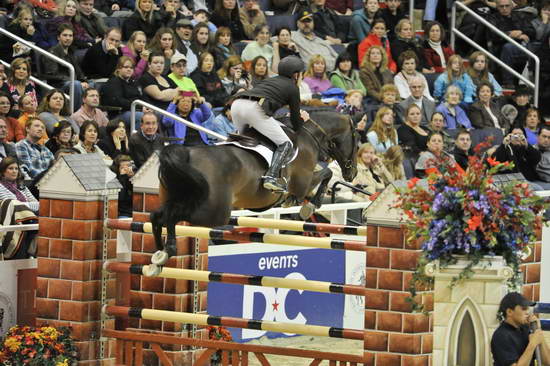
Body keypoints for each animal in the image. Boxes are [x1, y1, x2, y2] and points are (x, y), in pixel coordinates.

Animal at [149, 108, 360, 272]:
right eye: (357, 143)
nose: (353, 173)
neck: (309, 135)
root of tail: (185, 155)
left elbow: (325, 174)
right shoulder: (303, 183)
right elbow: (327, 174)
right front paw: (310, 206)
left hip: (176, 198)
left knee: (157, 216)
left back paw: (158, 257)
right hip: (212, 213)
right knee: (171, 216)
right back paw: (168, 251)